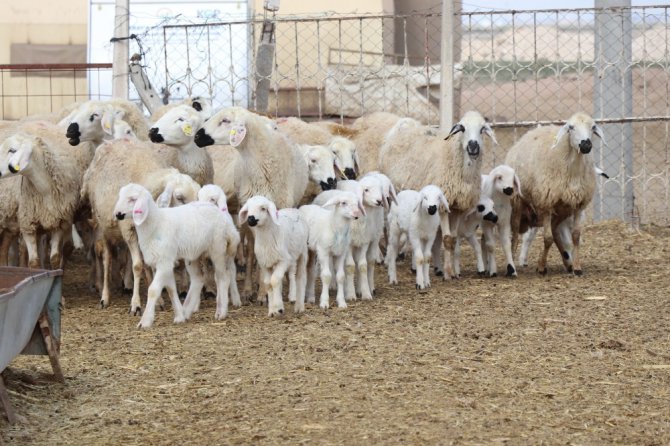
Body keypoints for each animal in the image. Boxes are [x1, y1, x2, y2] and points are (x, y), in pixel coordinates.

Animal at [115, 183, 239, 330]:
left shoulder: (164, 261)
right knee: (198, 279)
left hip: (218, 248)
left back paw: (221, 312)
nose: (117, 214)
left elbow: (153, 290)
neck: (156, 224)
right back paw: (187, 311)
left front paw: (145, 321)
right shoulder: (165, 261)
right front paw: (179, 316)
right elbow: (170, 289)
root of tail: (223, 216)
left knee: (223, 277)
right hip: (194, 255)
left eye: (133, 199)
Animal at [378, 111, 498, 278]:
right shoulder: (441, 206)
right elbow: (446, 239)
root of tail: (404, 125)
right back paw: (390, 257)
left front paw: (452, 272)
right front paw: (448, 273)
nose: (473, 146)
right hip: (391, 196)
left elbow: (452, 238)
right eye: (462, 128)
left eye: (482, 129)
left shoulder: (457, 207)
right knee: (388, 226)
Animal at [506, 111, 608, 276]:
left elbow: (575, 236)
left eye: (593, 127)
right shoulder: (546, 204)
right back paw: (513, 263)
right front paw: (542, 267)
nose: (586, 145)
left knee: (555, 232)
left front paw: (577, 267)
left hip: (562, 209)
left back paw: (568, 263)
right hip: (518, 200)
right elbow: (547, 238)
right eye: (571, 127)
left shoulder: (578, 206)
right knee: (515, 233)